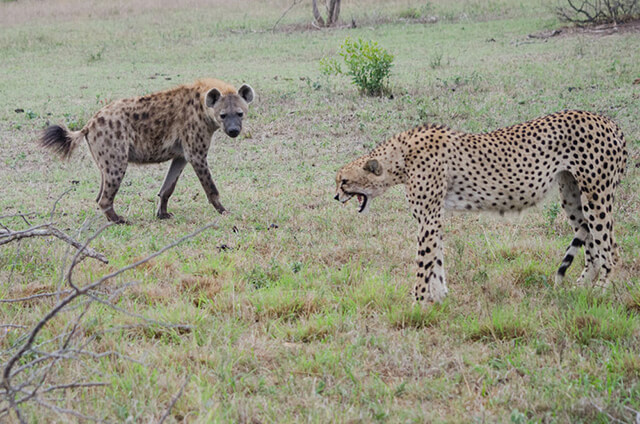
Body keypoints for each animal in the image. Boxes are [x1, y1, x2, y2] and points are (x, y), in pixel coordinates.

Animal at [38, 78, 255, 222]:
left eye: (240, 113)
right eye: (223, 115)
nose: (234, 131)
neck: (203, 110)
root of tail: (89, 124)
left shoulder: (182, 155)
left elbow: (168, 187)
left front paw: (163, 213)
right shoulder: (196, 153)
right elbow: (210, 187)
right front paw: (224, 211)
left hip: (104, 161)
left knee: (99, 194)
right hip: (116, 158)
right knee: (105, 197)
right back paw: (119, 220)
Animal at [338, 111, 628, 306]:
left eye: (344, 181)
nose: (335, 196)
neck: (400, 159)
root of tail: (610, 122)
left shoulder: (429, 218)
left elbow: (424, 262)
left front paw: (417, 304)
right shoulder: (434, 217)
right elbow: (437, 258)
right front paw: (440, 297)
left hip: (597, 196)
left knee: (610, 249)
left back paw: (601, 292)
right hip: (572, 196)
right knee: (592, 248)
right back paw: (581, 290)